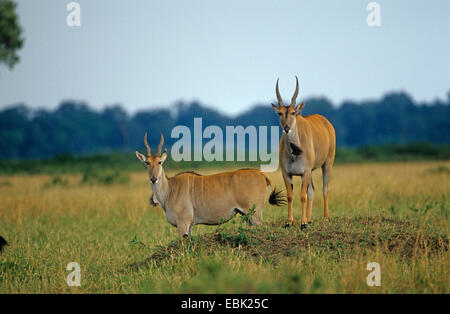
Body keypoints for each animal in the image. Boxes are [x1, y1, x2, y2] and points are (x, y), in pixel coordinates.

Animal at [134, 132, 284, 238]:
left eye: (159, 162)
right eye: (147, 163)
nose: (153, 179)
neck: (170, 189)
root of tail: (261, 174)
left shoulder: (183, 224)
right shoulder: (189, 226)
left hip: (254, 214)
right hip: (248, 216)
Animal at [270, 76, 334, 228]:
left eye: (293, 113)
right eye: (280, 113)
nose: (286, 128)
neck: (294, 153)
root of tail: (326, 122)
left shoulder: (305, 172)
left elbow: (303, 196)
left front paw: (303, 223)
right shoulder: (287, 173)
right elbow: (290, 196)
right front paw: (289, 221)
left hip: (327, 163)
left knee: (324, 189)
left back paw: (325, 218)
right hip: (311, 172)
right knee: (312, 190)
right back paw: (310, 219)